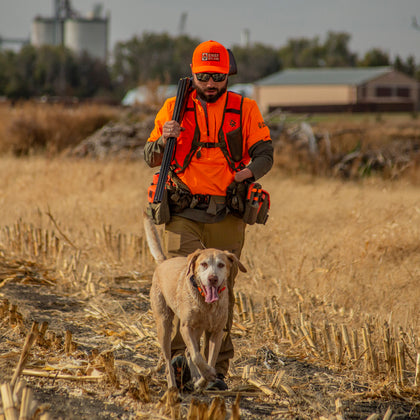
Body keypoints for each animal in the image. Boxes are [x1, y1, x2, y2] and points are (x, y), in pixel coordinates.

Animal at [144, 213, 246, 390]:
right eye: (204, 264)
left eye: (221, 265)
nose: (213, 278)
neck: (207, 305)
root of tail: (164, 262)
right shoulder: (186, 327)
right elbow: (197, 356)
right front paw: (205, 374)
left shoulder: (217, 332)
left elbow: (209, 358)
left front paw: (204, 379)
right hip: (164, 324)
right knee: (169, 359)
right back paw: (172, 386)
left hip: (197, 330)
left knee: (187, 352)